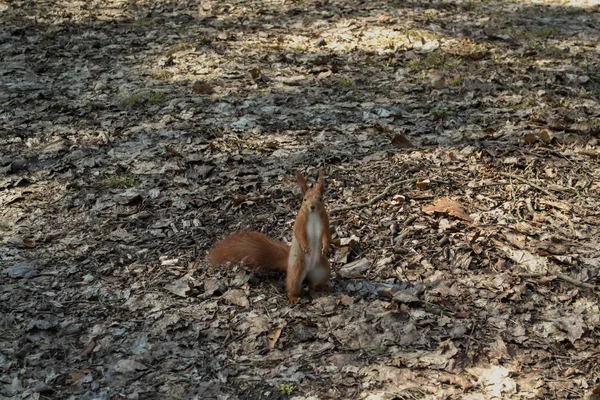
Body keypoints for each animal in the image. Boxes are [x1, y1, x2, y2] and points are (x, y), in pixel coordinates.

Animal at [207, 169, 330, 304]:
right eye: (305, 199)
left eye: (320, 198)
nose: (312, 207)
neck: (313, 215)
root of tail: (308, 271)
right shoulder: (299, 222)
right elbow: (299, 234)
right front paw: (305, 247)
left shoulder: (324, 220)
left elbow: (326, 234)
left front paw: (325, 247)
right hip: (296, 269)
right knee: (293, 285)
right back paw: (293, 297)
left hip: (323, 270)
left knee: (313, 284)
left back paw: (322, 287)